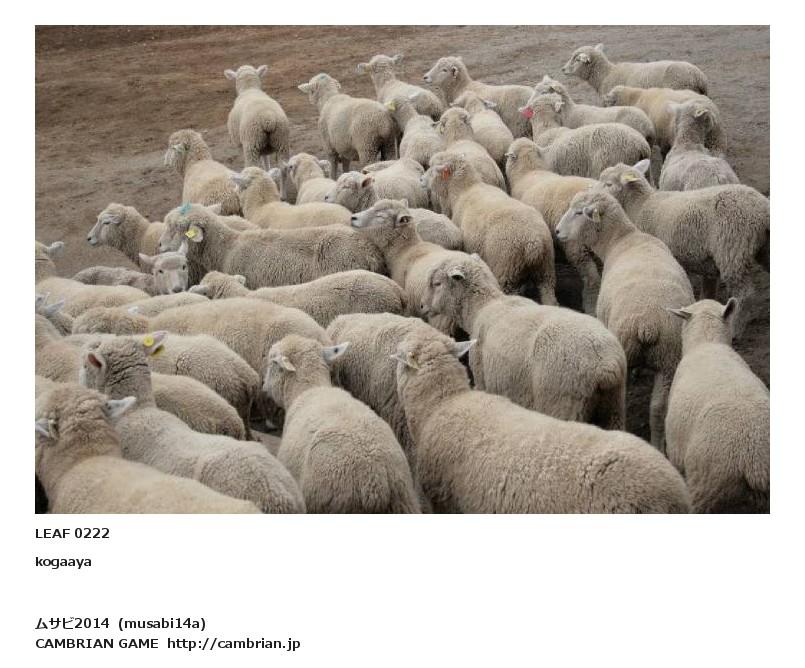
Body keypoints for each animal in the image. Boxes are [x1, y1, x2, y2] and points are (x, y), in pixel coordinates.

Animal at [421, 253, 627, 429]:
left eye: (437, 283)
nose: (421, 306)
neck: (482, 307)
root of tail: (605, 366)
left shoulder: (481, 377)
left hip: (564, 402)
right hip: (614, 407)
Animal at [425, 153, 557, 302]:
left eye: (432, 169)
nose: (421, 179)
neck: (464, 190)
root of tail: (534, 242)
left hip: (506, 268)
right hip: (546, 268)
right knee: (549, 293)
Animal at [555, 188, 695, 451]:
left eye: (578, 212)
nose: (557, 232)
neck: (622, 239)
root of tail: (648, 325)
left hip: (625, 351)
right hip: (669, 358)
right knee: (658, 409)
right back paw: (658, 444)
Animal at [598, 160, 769, 334]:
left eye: (608, 184)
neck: (641, 205)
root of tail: (762, 209)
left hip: (731, 248)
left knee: (744, 294)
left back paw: (735, 328)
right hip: (763, 248)